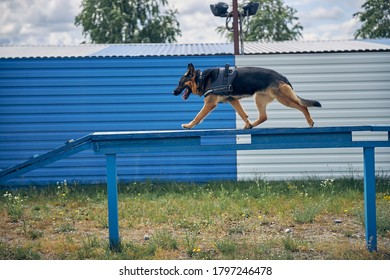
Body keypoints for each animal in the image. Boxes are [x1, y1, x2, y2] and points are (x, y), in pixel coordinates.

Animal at [174, 63, 322, 130]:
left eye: (180, 83)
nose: (173, 92)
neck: (201, 79)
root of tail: (282, 76)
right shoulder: (233, 101)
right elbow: (242, 114)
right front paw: (247, 123)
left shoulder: (210, 104)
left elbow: (198, 116)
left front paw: (189, 125)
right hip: (259, 99)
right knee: (263, 117)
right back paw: (250, 126)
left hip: (283, 98)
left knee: (302, 106)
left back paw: (310, 122)